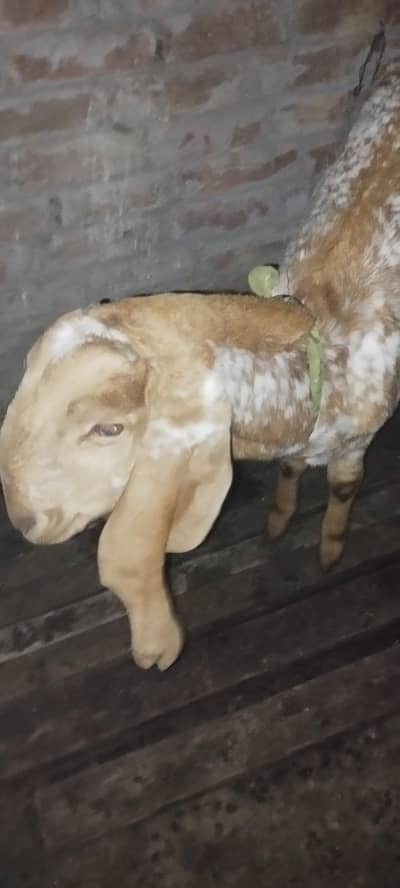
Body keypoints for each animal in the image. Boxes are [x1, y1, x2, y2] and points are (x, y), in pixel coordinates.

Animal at [0, 62, 399, 670]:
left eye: (108, 428)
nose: (25, 522)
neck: (319, 350)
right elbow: (289, 471)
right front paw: (277, 523)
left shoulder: (358, 442)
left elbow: (344, 488)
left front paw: (329, 550)